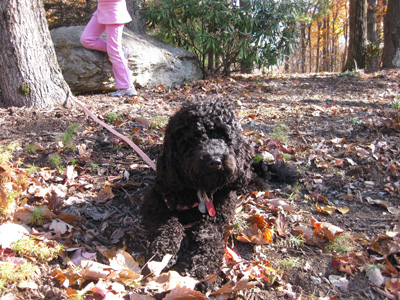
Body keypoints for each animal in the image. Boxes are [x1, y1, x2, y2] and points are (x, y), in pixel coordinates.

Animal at [141, 97, 294, 282]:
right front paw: (163, 250)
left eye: (224, 136)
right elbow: (168, 223)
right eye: (194, 138)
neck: (201, 191)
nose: (215, 161)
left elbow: (210, 235)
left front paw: (204, 267)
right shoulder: (156, 199)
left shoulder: (221, 212)